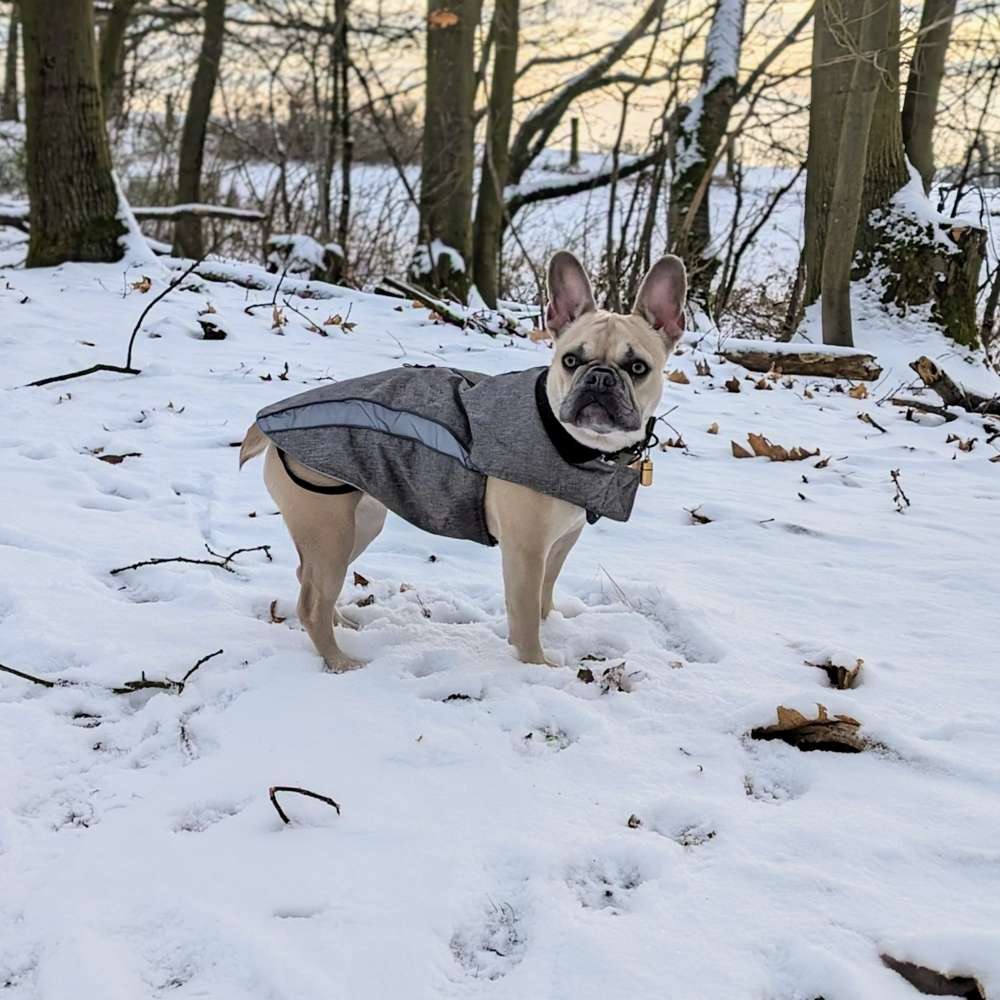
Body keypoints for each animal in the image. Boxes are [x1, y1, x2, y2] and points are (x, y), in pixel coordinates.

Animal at [240, 250, 688, 672]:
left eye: (638, 367)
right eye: (571, 360)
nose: (599, 378)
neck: (576, 445)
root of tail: (268, 420)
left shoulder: (561, 542)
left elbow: (545, 594)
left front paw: (552, 627)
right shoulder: (526, 551)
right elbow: (526, 613)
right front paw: (536, 665)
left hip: (361, 521)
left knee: (308, 579)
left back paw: (342, 626)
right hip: (328, 529)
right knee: (312, 601)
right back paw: (339, 660)